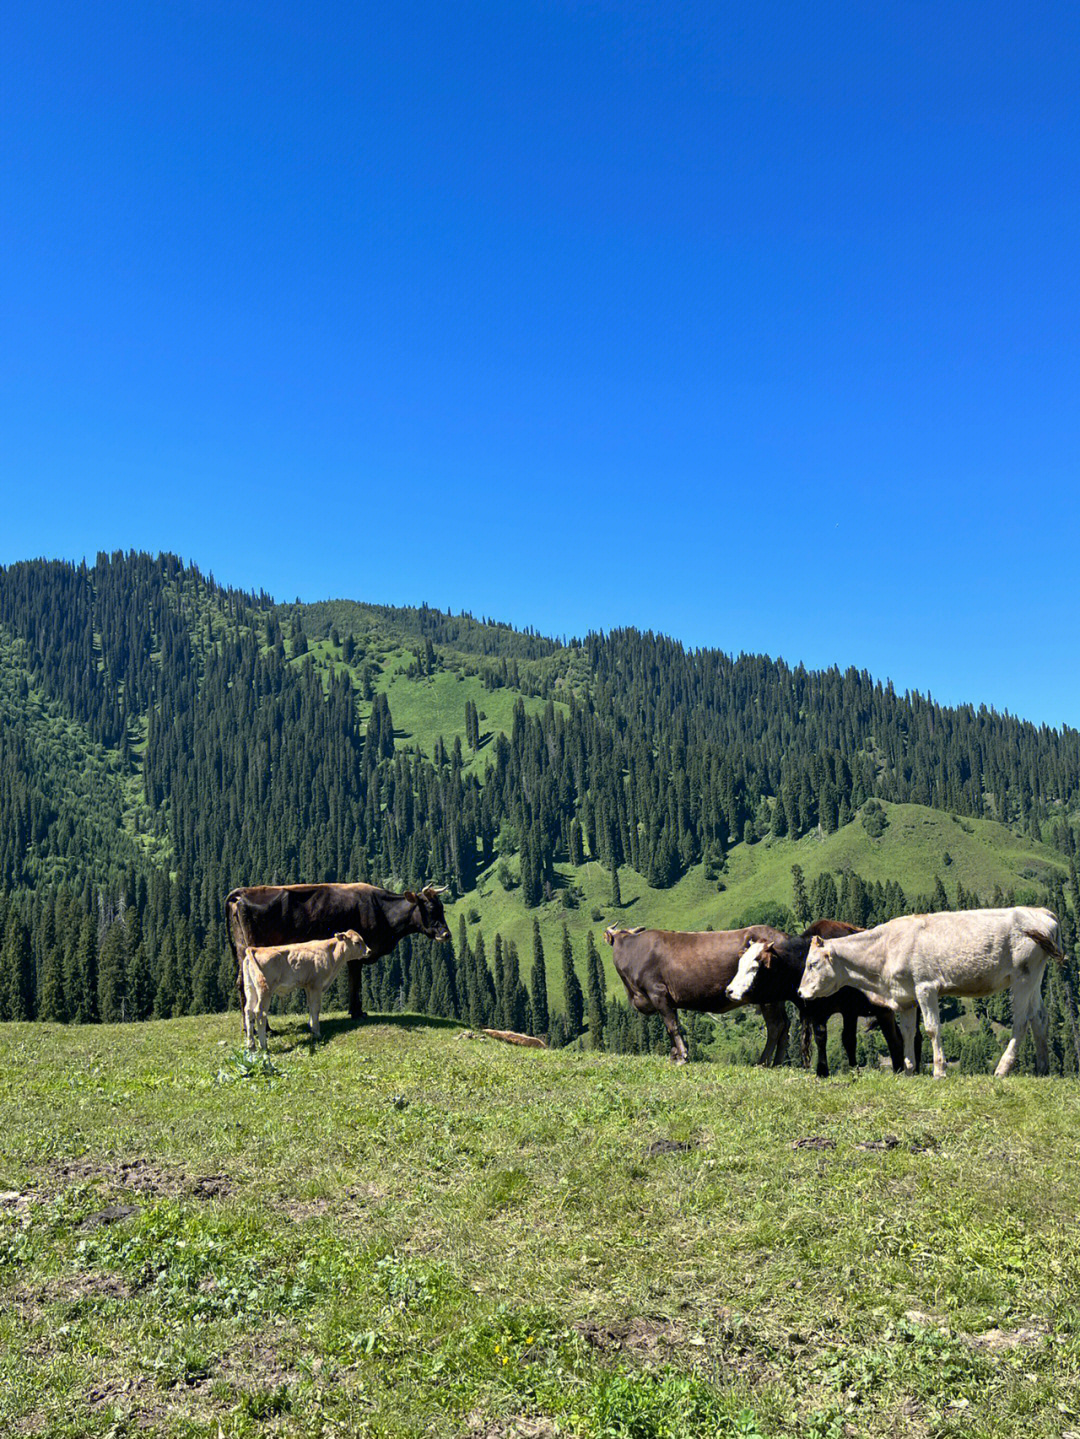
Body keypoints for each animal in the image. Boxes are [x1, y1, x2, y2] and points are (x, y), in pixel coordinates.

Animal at [225, 874, 448, 1024]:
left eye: (442, 908)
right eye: (429, 908)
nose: (446, 934)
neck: (382, 912)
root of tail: (243, 893)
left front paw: (355, 1011)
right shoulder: (358, 954)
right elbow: (355, 983)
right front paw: (357, 1012)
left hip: (242, 950)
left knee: (241, 983)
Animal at [240, 926, 371, 1053]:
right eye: (357, 942)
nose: (369, 951)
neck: (331, 956)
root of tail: (256, 949)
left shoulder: (308, 986)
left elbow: (311, 1006)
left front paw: (311, 1027)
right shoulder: (316, 985)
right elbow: (316, 1007)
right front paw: (317, 1032)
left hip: (250, 987)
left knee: (248, 1011)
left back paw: (251, 1045)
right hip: (264, 990)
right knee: (259, 1012)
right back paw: (263, 1046)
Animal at [603, 926, 799, 1064]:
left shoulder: (658, 992)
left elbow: (672, 1026)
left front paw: (682, 1056)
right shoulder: (668, 1000)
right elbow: (671, 1025)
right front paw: (674, 1055)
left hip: (769, 997)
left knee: (775, 1026)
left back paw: (763, 1062)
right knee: (785, 1025)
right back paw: (777, 1063)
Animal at [793, 903, 1064, 1076]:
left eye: (812, 964)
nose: (800, 993)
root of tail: (1041, 912)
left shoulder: (926, 987)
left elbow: (932, 1029)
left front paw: (939, 1071)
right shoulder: (905, 997)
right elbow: (908, 1032)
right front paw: (909, 1070)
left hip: (1022, 976)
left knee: (1021, 1021)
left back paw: (1002, 1069)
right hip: (1035, 976)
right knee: (1040, 1018)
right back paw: (1043, 1069)